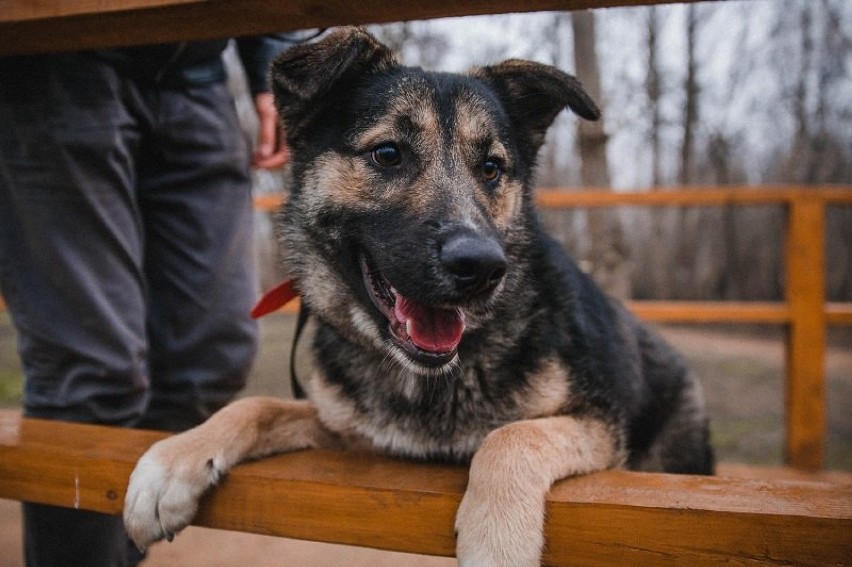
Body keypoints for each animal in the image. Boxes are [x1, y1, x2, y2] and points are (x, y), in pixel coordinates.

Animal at [123, 27, 716, 567]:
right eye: (388, 154)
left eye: (491, 168)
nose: (481, 267)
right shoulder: (350, 431)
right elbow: (256, 406)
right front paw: (173, 460)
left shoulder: (597, 426)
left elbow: (512, 437)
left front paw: (495, 539)